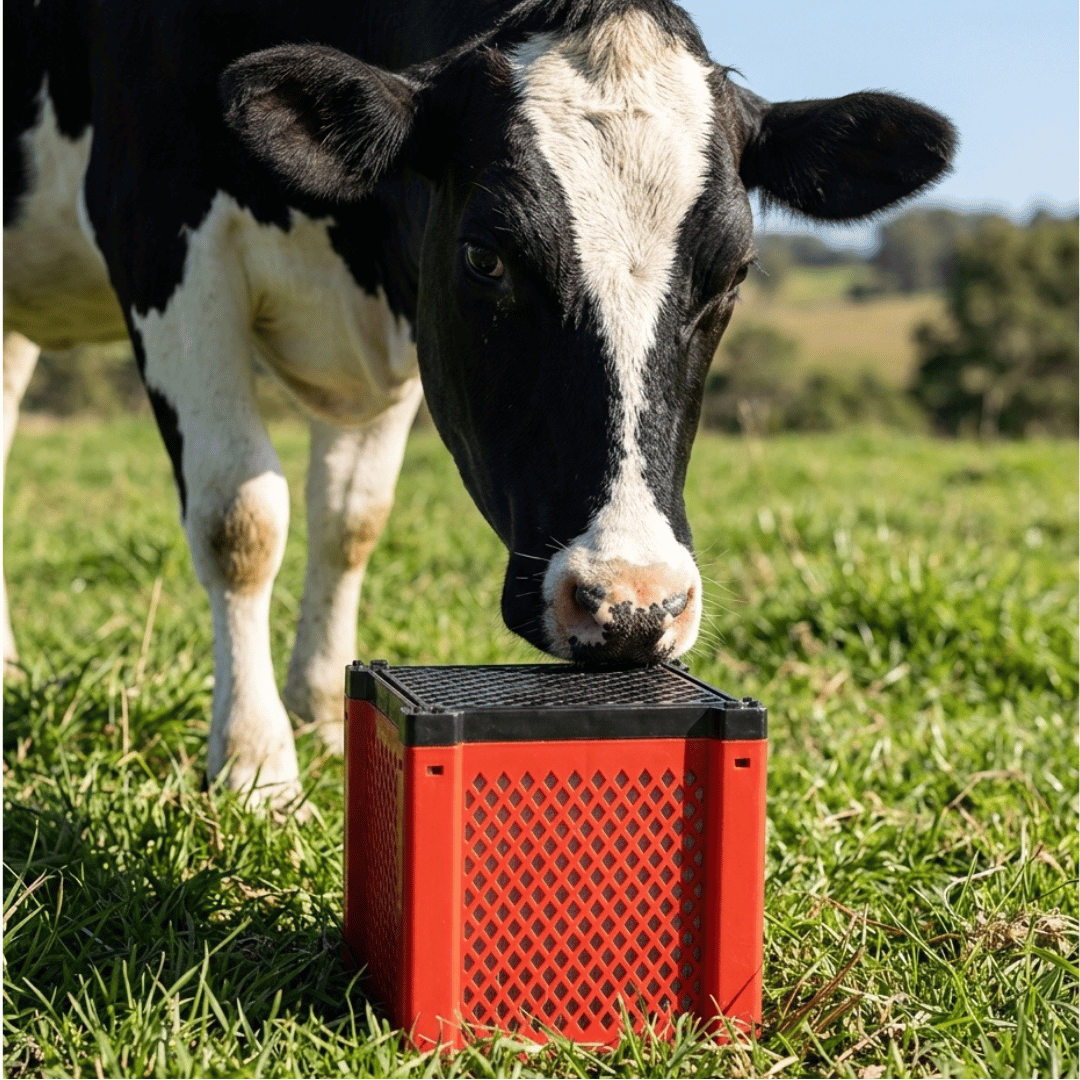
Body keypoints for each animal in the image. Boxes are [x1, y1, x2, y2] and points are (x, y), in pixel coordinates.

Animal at [4, 0, 955, 805]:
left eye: (734, 273)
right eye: (486, 256)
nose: (634, 605)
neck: (353, 242)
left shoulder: (405, 307)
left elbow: (351, 517)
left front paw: (323, 713)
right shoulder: (160, 231)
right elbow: (240, 521)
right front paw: (255, 766)